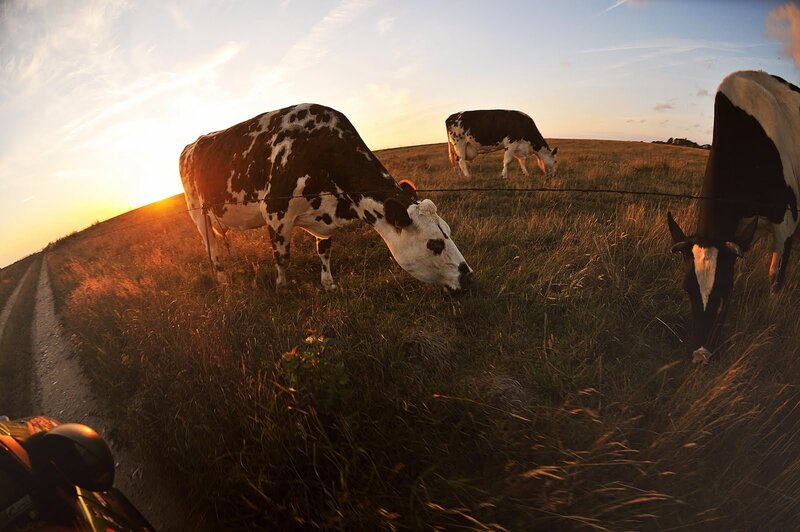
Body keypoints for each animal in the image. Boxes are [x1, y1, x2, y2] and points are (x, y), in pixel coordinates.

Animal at [179, 103, 474, 292]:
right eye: (434, 244)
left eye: (448, 232)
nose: (468, 276)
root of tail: (193, 144)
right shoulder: (275, 211)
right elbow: (282, 256)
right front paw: (283, 288)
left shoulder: (325, 217)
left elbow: (324, 250)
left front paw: (328, 283)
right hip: (197, 213)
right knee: (211, 248)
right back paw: (222, 280)